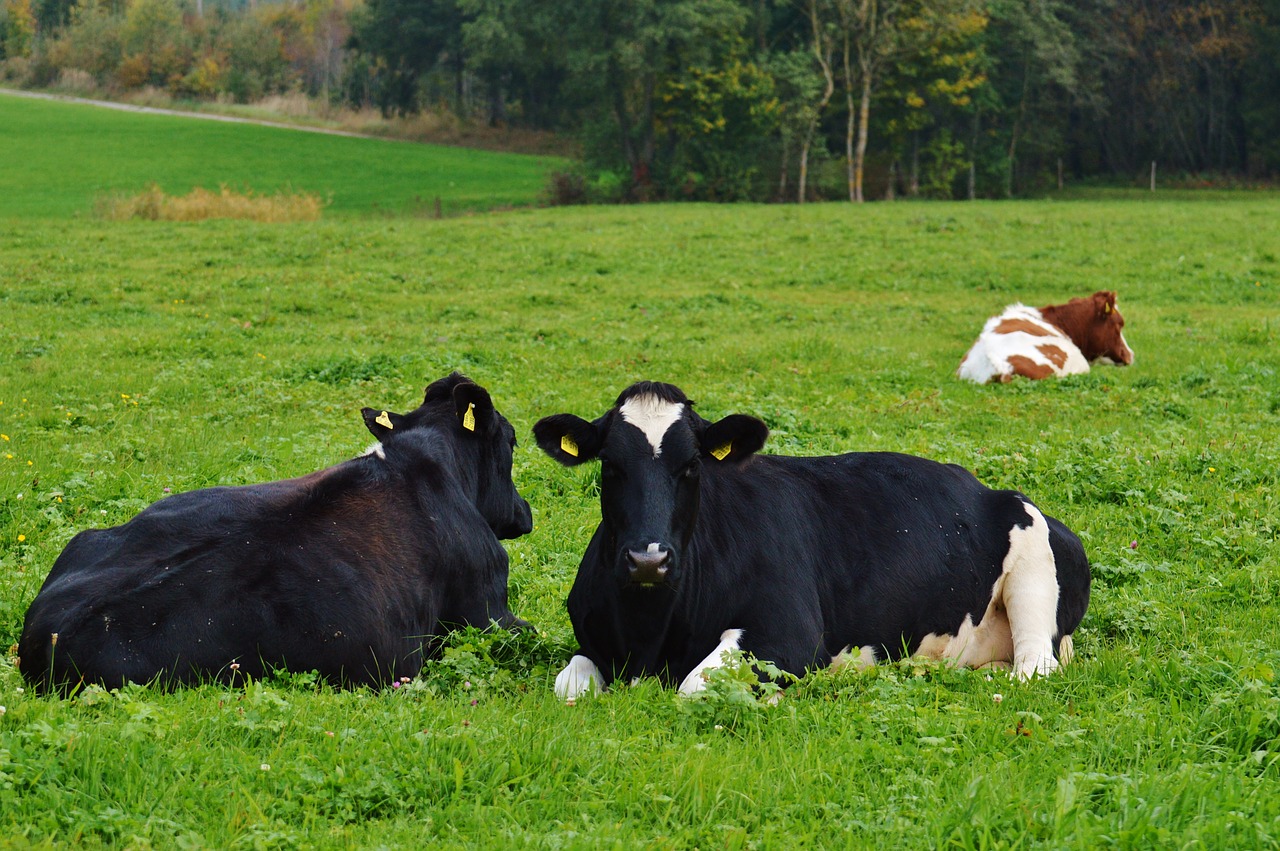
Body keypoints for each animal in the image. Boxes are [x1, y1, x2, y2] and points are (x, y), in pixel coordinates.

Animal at [532, 381, 1090, 696]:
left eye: (691, 466)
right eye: (610, 465)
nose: (649, 560)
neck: (649, 635)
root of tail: (988, 489)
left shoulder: (789, 634)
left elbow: (695, 686)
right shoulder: (592, 642)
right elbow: (568, 685)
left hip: (1034, 572)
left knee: (1034, 668)